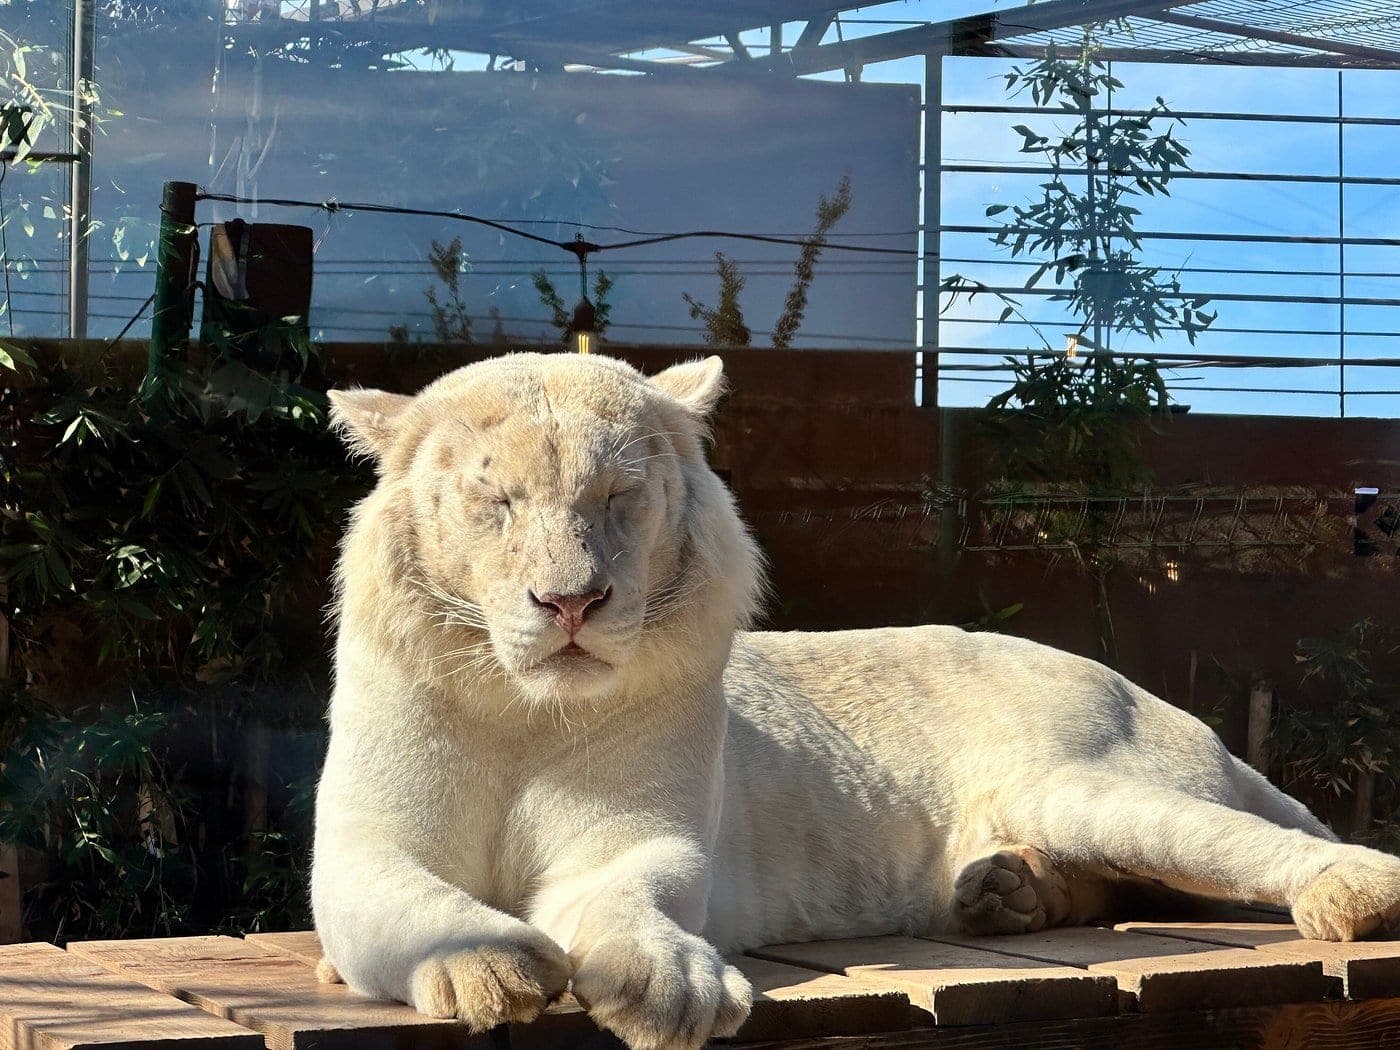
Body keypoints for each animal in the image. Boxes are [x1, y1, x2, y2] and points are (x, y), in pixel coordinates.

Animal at [312, 352, 1400, 1050]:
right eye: (494, 504)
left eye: (618, 499)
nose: (571, 601)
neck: (520, 711)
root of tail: (1141, 692)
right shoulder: (364, 846)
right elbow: (409, 904)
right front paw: (483, 967)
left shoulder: (641, 835)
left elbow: (632, 895)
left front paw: (670, 985)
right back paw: (1006, 890)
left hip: (1086, 787)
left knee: (1240, 847)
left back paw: (1347, 891)